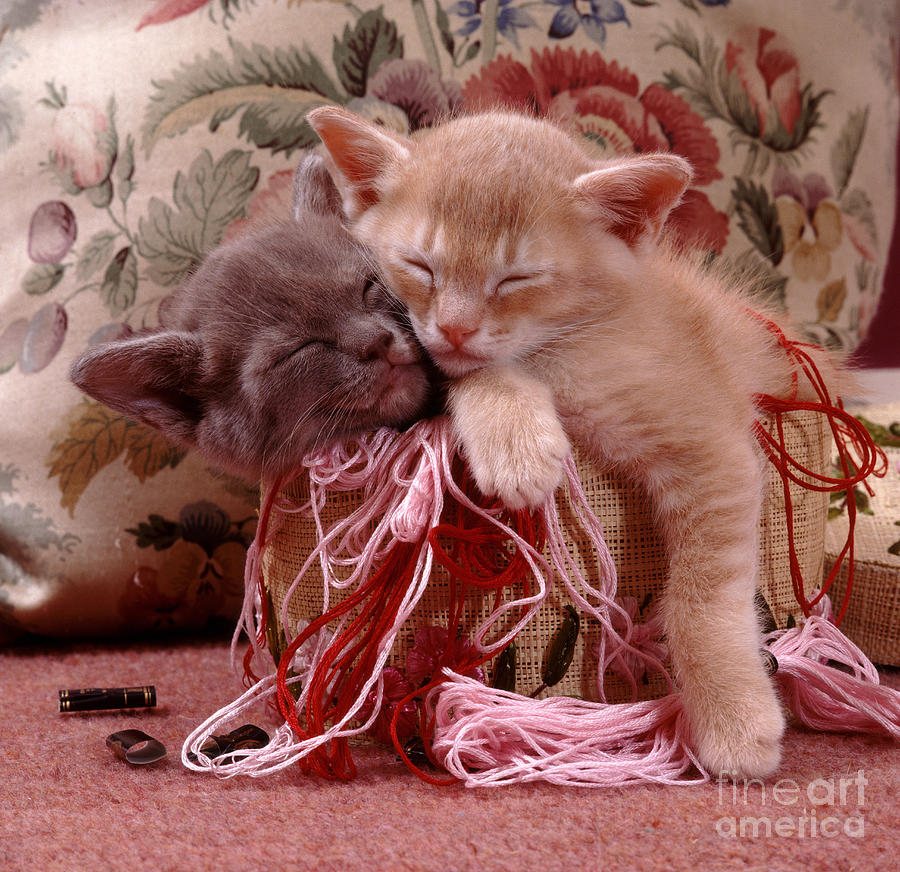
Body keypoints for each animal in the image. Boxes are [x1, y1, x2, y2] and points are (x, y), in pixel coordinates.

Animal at [304, 105, 844, 780]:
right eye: (421, 265)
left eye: (517, 278)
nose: (454, 327)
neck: (560, 352)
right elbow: (469, 372)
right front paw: (517, 442)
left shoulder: (712, 447)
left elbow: (703, 600)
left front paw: (733, 716)